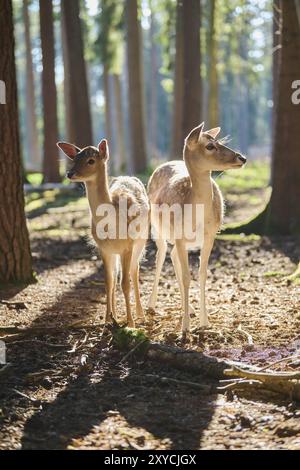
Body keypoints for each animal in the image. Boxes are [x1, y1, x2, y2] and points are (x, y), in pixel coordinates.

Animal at [57, 140, 149, 326]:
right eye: (75, 158)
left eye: (91, 160)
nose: (70, 173)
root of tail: (128, 176)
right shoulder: (103, 248)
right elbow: (108, 282)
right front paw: (108, 320)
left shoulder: (127, 245)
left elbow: (125, 283)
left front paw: (130, 323)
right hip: (115, 251)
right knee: (115, 276)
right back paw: (115, 316)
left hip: (141, 241)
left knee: (134, 271)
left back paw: (140, 314)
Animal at [147, 121, 246, 334]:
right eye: (210, 146)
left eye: (219, 141)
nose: (242, 157)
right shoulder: (179, 235)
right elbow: (186, 277)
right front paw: (185, 328)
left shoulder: (210, 236)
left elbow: (202, 274)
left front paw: (204, 321)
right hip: (157, 227)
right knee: (161, 255)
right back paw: (151, 304)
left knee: (172, 255)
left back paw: (190, 309)